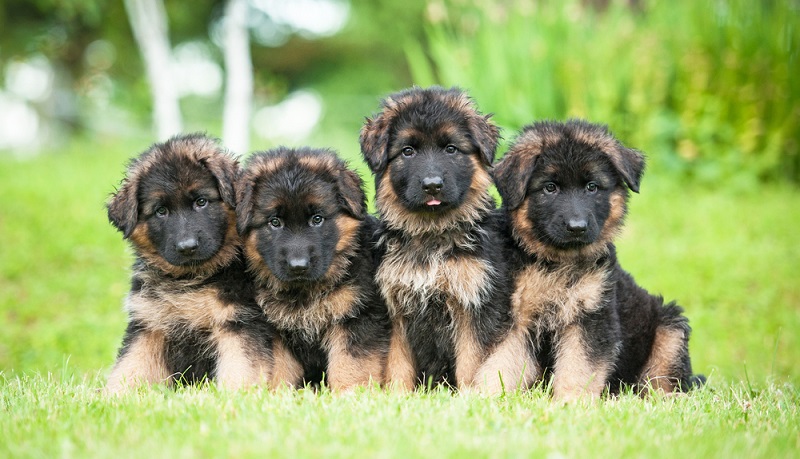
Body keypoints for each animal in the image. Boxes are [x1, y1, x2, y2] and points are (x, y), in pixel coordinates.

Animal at [104, 133, 282, 396]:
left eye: (201, 201)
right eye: (161, 211)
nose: (187, 247)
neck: (190, 279)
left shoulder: (237, 322)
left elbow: (240, 368)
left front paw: (236, 397)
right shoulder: (148, 324)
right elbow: (129, 366)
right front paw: (109, 397)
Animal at [236, 147, 390, 392]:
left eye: (317, 219)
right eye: (275, 222)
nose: (298, 266)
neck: (305, 292)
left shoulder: (357, 317)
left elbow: (351, 364)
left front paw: (350, 393)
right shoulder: (275, 331)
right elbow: (280, 370)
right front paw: (276, 395)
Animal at [358, 87, 510, 392]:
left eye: (451, 149)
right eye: (408, 151)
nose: (432, 185)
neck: (432, 235)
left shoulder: (474, 305)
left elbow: (470, 362)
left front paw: (469, 396)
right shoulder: (395, 308)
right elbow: (398, 364)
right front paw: (397, 396)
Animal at [478, 120, 704, 400]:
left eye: (592, 187)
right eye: (550, 187)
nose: (577, 227)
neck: (557, 262)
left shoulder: (591, 318)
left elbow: (579, 366)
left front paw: (571, 401)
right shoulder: (514, 317)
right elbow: (501, 360)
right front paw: (486, 396)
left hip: (670, 330)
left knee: (663, 383)